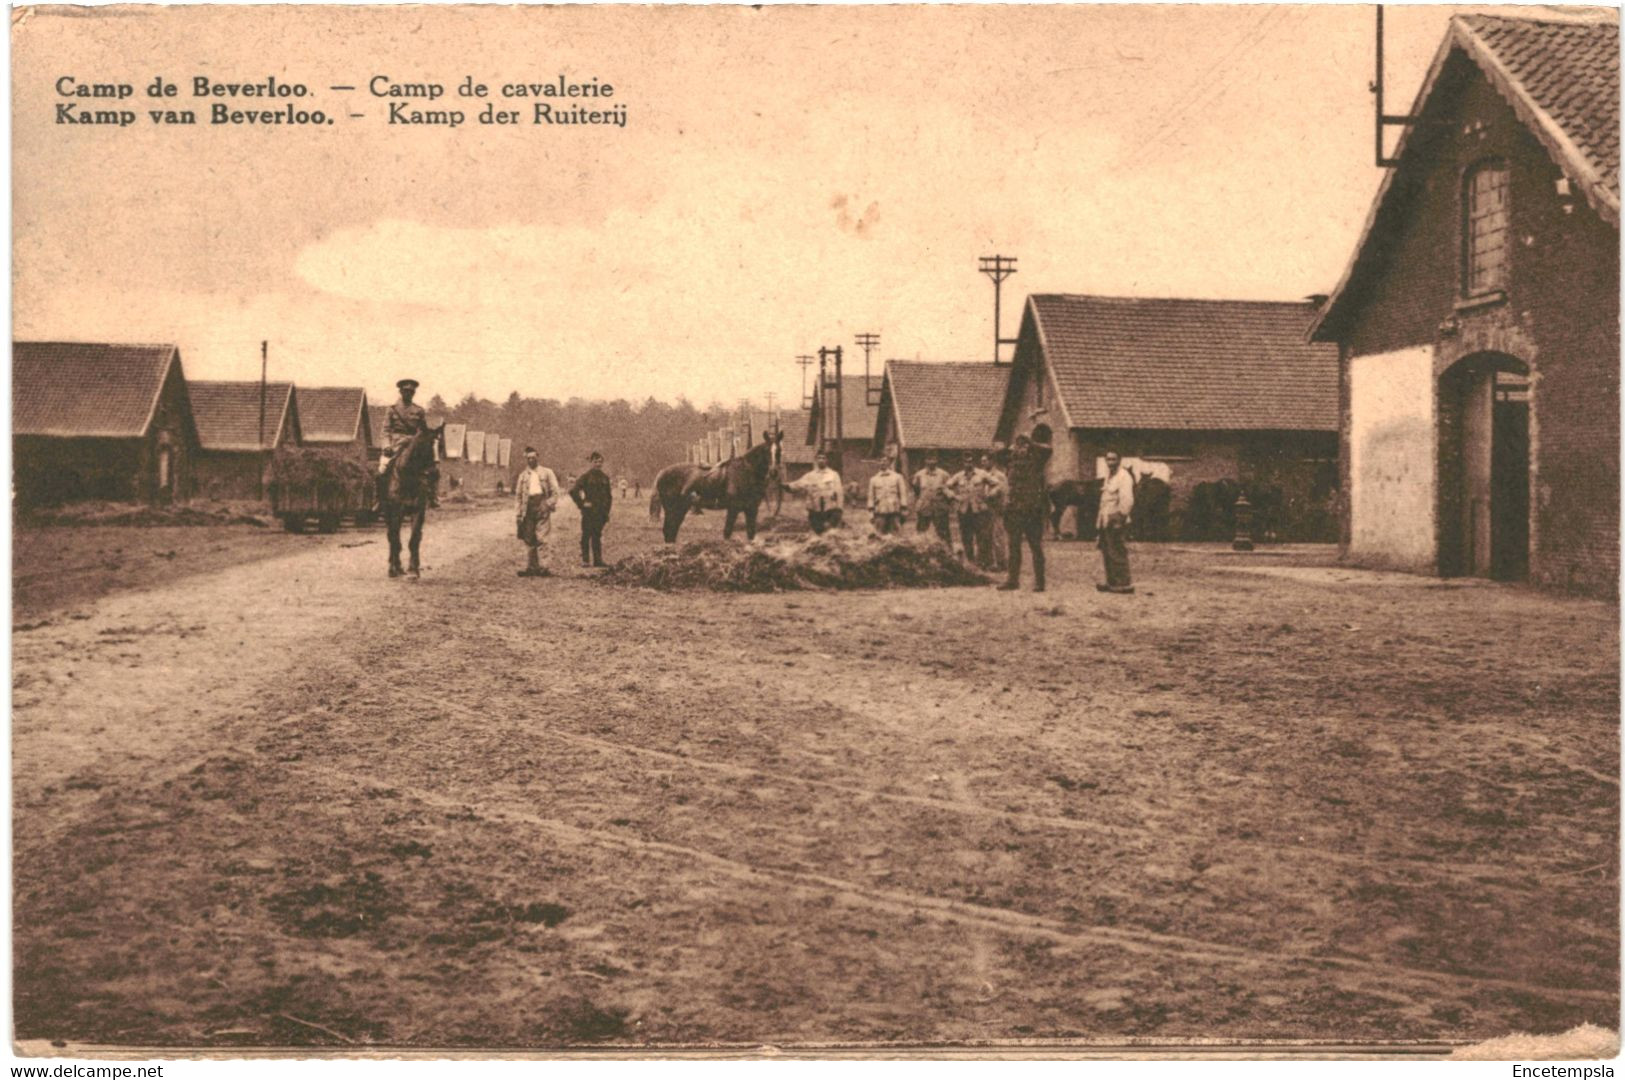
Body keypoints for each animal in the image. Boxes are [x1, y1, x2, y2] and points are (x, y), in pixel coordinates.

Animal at [373, 422, 438, 578]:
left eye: (435, 444)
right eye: (421, 444)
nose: (433, 474)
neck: (408, 479)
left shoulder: (418, 511)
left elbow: (413, 539)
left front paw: (413, 570)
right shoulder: (396, 513)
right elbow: (395, 539)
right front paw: (394, 568)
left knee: (417, 537)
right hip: (388, 514)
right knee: (391, 536)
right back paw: (395, 566)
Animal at [650, 428, 783, 542]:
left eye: (779, 451)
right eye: (766, 450)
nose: (774, 472)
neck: (745, 471)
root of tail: (662, 472)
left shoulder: (752, 509)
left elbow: (751, 534)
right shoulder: (733, 508)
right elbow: (727, 533)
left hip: (681, 508)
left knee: (671, 532)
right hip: (672, 508)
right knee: (668, 531)